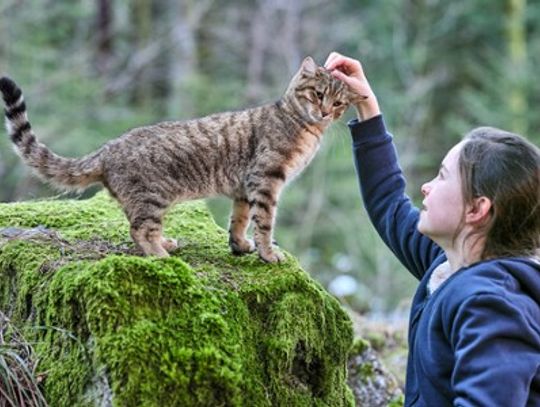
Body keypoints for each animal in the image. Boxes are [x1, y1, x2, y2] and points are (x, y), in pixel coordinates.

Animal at [2, 55, 360, 262]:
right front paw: (268, 254)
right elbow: (264, 223)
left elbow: (239, 220)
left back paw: (166, 244)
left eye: (339, 103)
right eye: (317, 94)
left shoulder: (245, 189)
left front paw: (240, 246)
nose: (325, 112)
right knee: (139, 230)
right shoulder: (266, 180)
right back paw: (161, 255)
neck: (303, 126)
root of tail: (108, 148)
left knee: (139, 227)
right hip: (152, 197)